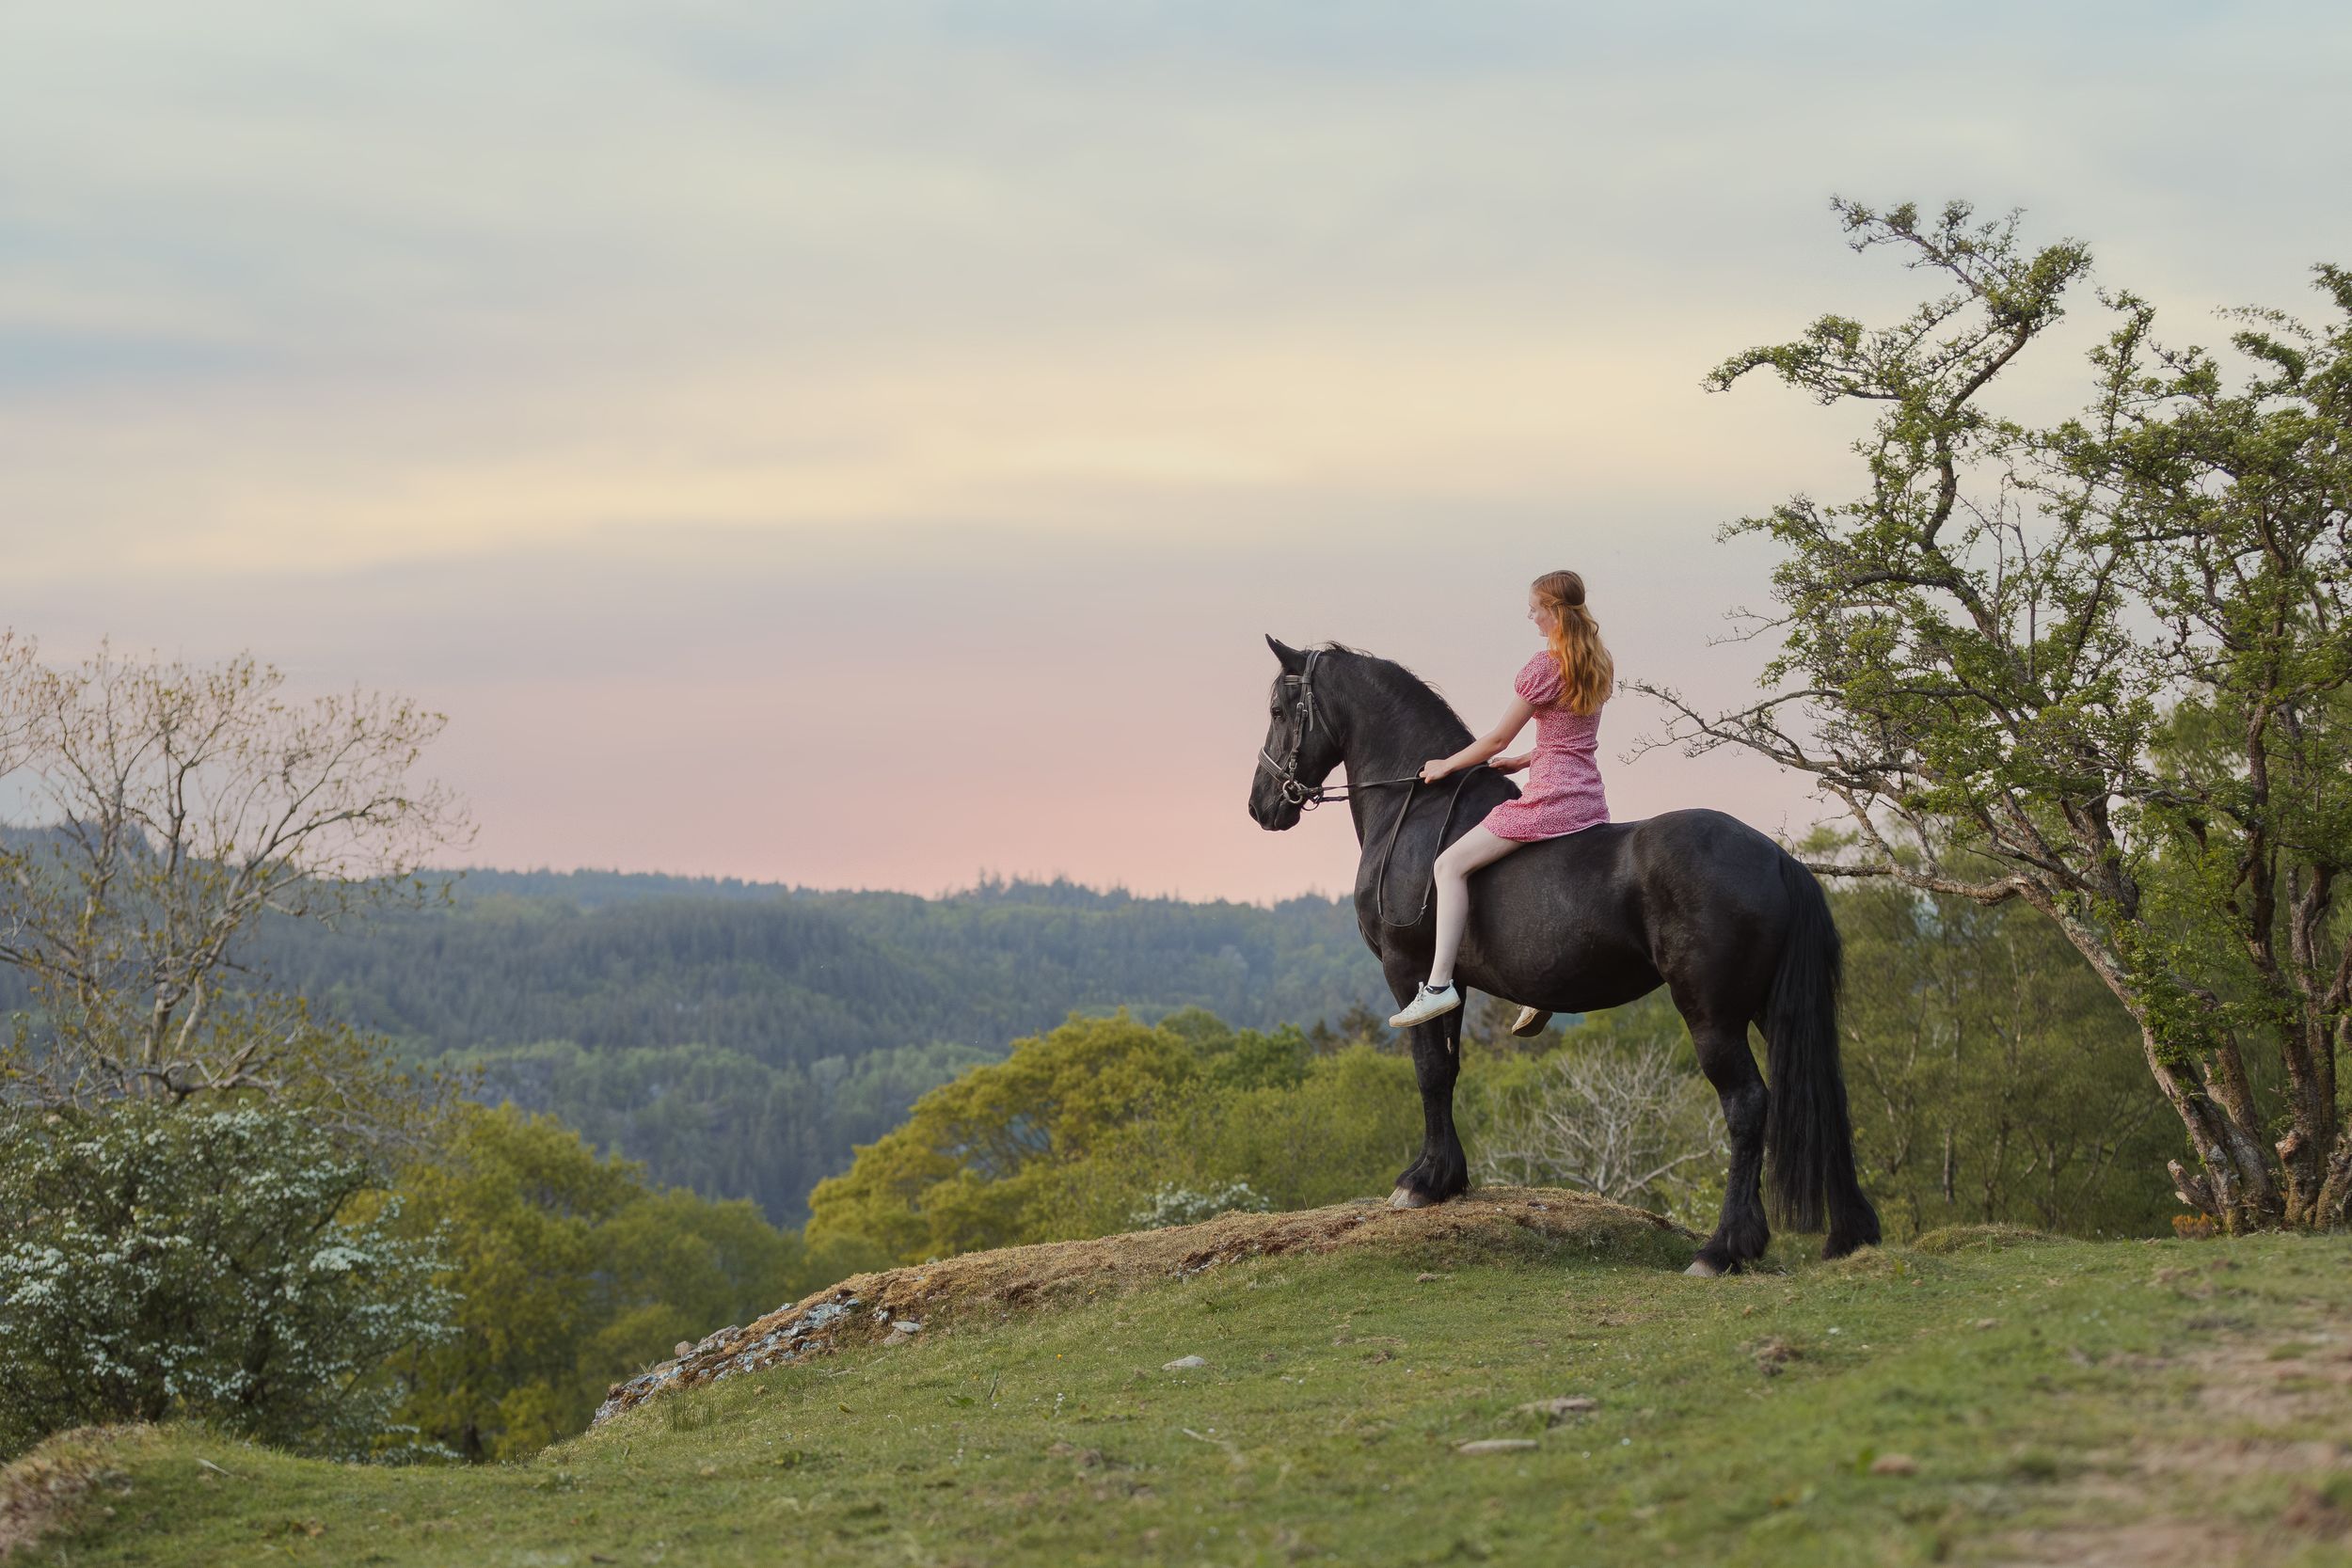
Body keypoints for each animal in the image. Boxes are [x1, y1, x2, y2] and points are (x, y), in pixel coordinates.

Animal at [1246, 637, 1880, 1272]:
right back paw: (1851, 1232)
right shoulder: (1452, 984)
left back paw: (1724, 1247)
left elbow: (1428, 1070)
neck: (1418, 807)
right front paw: (1446, 1177)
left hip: (1713, 1015)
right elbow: (1448, 1070)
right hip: (1770, 1009)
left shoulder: (1408, 971)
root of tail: (1778, 859)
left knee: (1746, 1106)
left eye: (1278, 710)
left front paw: (1422, 1183)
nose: (1260, 806)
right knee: (1826, 1096)